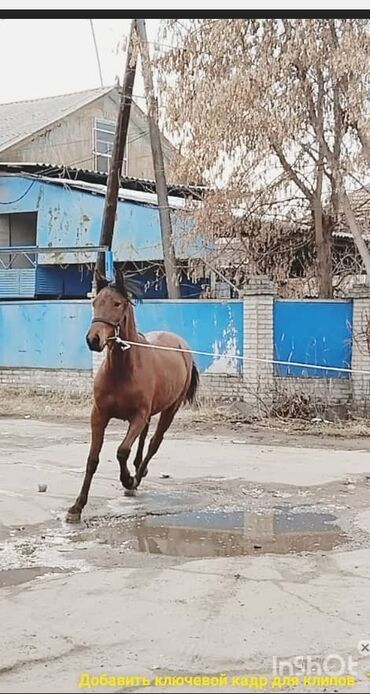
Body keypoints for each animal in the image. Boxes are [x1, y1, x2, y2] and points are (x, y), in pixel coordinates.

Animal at [66, 274, 199, 524]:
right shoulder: (99, 415)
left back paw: (136, 477)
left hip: (170, 410)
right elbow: (92, 460)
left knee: (154, 443)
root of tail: (181, 344)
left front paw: (127, 479)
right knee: (144, 440)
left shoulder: (137, 416)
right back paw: (139, 471)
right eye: (95, 302)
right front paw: (77, 507)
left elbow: (122, 451)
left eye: (117, 303)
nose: (93, 339)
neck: (122, 369)